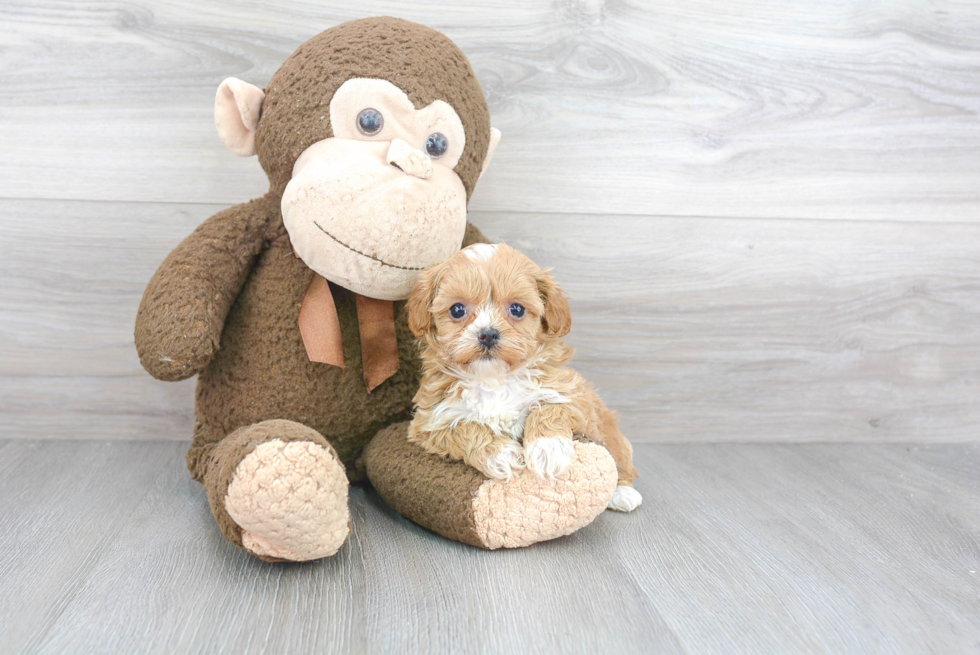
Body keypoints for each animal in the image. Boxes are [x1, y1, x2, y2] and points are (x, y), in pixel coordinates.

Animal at [406, 243, 644, 516]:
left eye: (517, 309)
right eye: (457, 310)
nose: (488, 334)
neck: (494, 380)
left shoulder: (575, 396)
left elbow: (550, 407)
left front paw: (549, 448)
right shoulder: (429, 422)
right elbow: (465, 427)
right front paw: (501, 454)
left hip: (610, 430)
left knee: (621, 461)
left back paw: (623, 493)